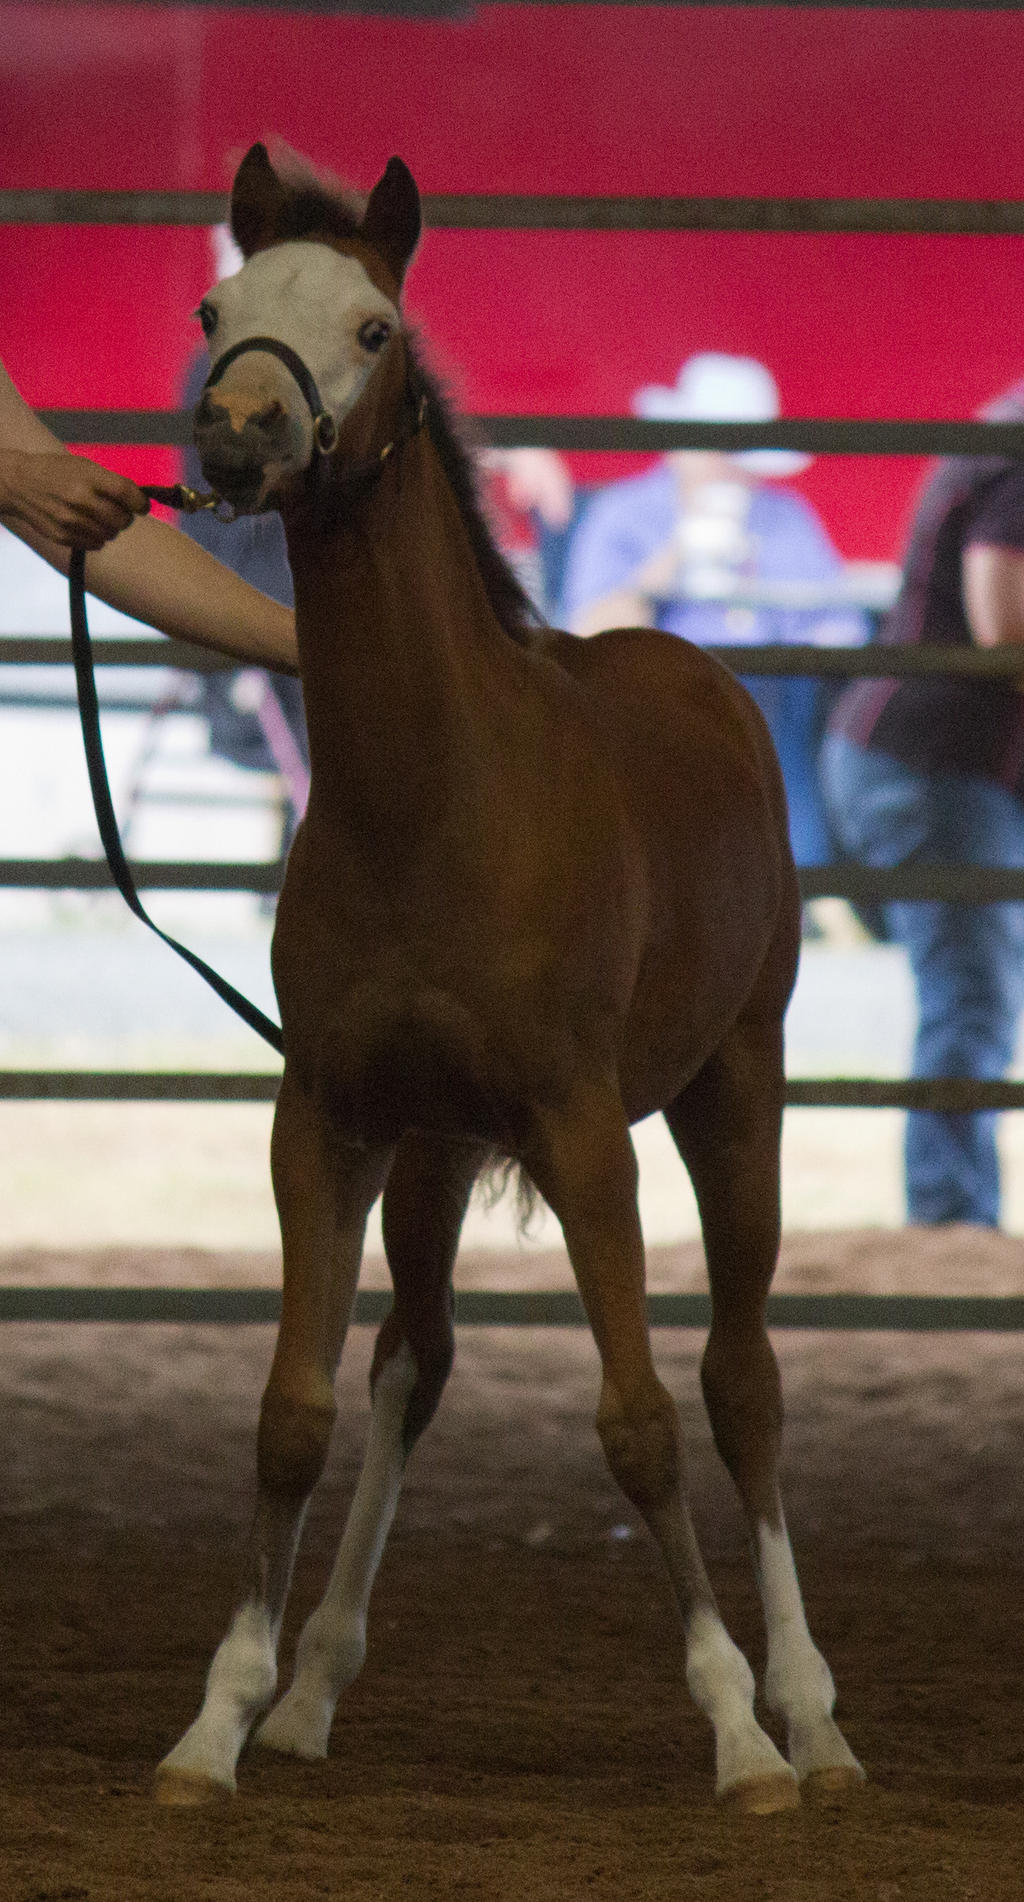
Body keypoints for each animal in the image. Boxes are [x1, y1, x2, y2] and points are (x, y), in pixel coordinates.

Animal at [151, 140, 856, 1803]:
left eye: (372, 327)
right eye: (217, 308)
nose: (239, 431)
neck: (434, 799)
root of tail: (697, 667)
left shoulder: (585, 1128)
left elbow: (643, 1417)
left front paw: (739, 1732)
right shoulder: (328, 1119)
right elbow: (291, 1412)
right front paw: (219, 1718)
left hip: (736, 1090)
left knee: (744, 1381)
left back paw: (814, 1713)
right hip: (432, 1146)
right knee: (415, 1357)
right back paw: (310, 1689)